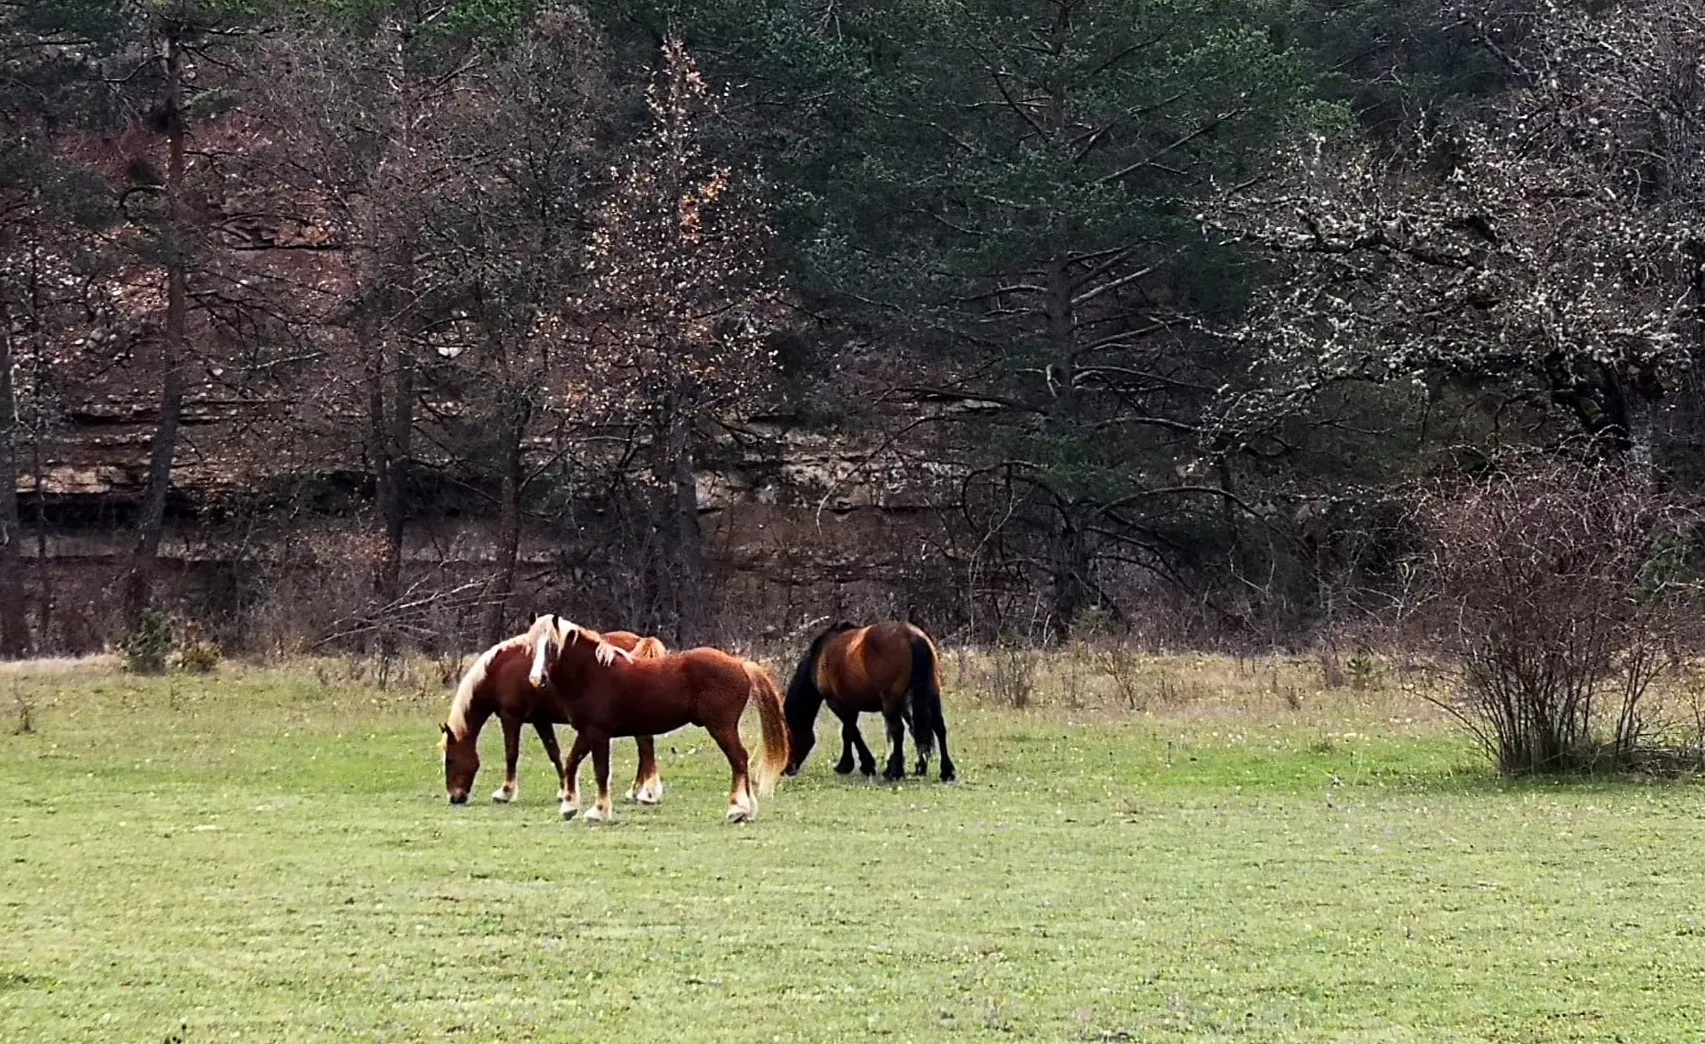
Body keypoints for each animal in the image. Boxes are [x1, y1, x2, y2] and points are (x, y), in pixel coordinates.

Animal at [439, 621, 669, 815]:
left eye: (450, 760)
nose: (454, 797)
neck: (500, 669)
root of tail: (641, 640)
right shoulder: (541, 720)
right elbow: (554, 753)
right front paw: (564, 792)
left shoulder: (511, 716)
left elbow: (511, 753)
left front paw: (505, 792)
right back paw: (637, 791)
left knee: (645, 747)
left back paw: (647, 794)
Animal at [528, 615, 789, 823]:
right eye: (532, 646)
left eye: (551, 646)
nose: (536, 679)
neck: (593, 674)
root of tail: (740, 664)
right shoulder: (586, 732)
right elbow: (571, 763)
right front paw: (569, 807)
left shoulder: (599, 734)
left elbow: (601, 771)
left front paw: (598, 812)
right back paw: (747, 810)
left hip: (721, 727)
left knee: (739, 760)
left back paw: (737, 810)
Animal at [782, 619, 955, 783]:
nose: (786, 770)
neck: (820, 657)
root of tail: (912, 636)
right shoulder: (889, 704)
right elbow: (849, 732)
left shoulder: (836, 703)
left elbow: (852, 731)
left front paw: (864, 765)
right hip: (932, 694)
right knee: (938, 727)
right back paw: (946, 771)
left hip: (890, 700)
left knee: (898, 730)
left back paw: (894, 773)